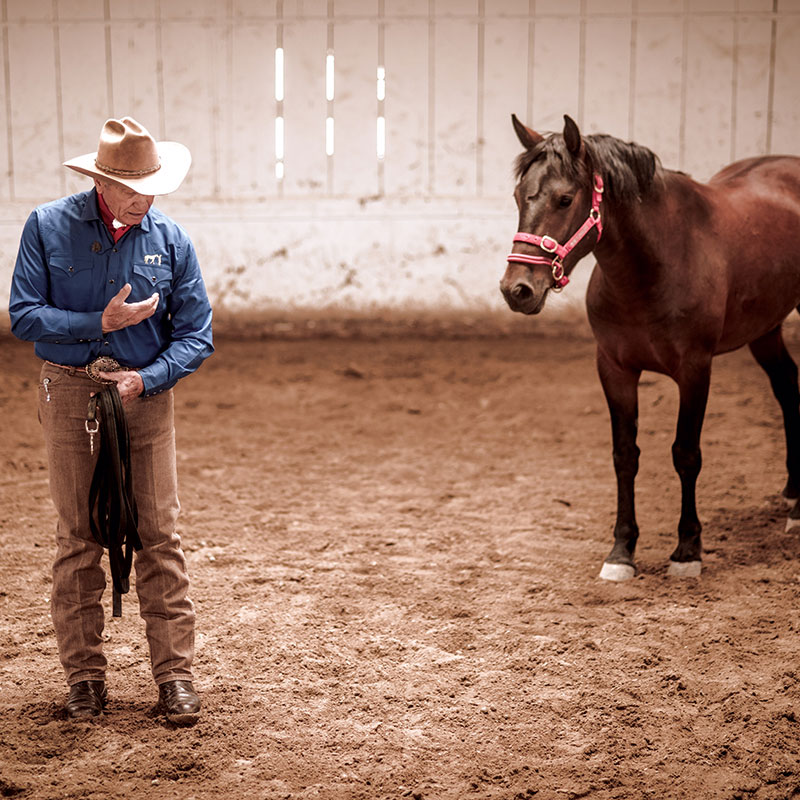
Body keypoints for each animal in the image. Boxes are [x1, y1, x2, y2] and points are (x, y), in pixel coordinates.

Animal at [496, 114, 800, 580]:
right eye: (517, 196)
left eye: (565, 199)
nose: (518, 290)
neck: (656, 265)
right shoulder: (615, 369)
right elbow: (625, 455)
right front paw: (622, 551)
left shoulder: (695, 371)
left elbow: (686, 454)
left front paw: (688, 550)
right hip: (764, 329)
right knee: (786, 386)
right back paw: (793, 493)